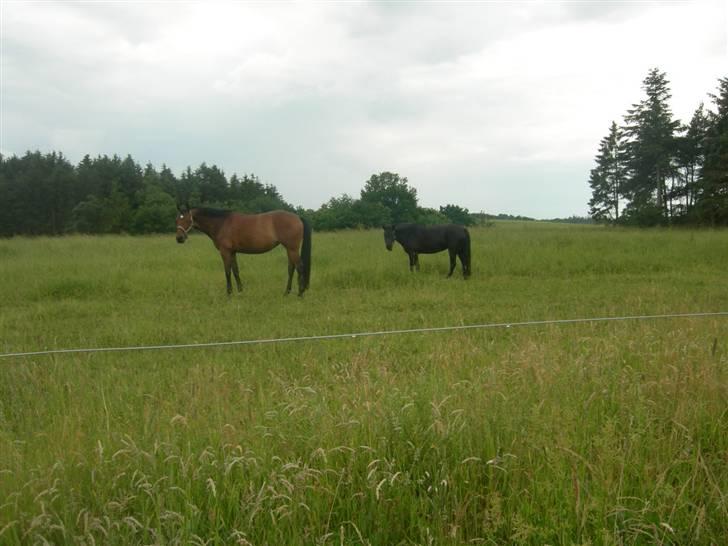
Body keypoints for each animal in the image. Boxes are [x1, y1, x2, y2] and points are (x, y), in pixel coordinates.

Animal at [175, 205, 312, 296]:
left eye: (187, 219)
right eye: (177, 220)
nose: (179, 238)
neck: (221, 223)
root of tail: (297, 217)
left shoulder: (225, 252)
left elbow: (227, 271)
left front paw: (229, 293)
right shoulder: (232, 252)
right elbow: (235, 270)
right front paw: (240, 291)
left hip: (292, 249)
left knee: (300, 267)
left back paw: (300, 293)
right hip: (289, 249)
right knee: (291, 269)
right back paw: (286, 292)